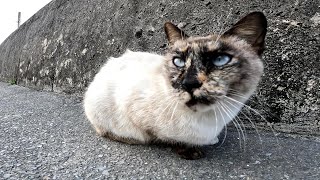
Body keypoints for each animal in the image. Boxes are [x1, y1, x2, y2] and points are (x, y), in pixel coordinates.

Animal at [84, 11, 266, 160]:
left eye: (220, 60)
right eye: (178, 62)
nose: (189, 83)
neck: (208, 121)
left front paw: (211, 141)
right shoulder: (135, 113)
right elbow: (165, 139)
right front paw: (190, 151)